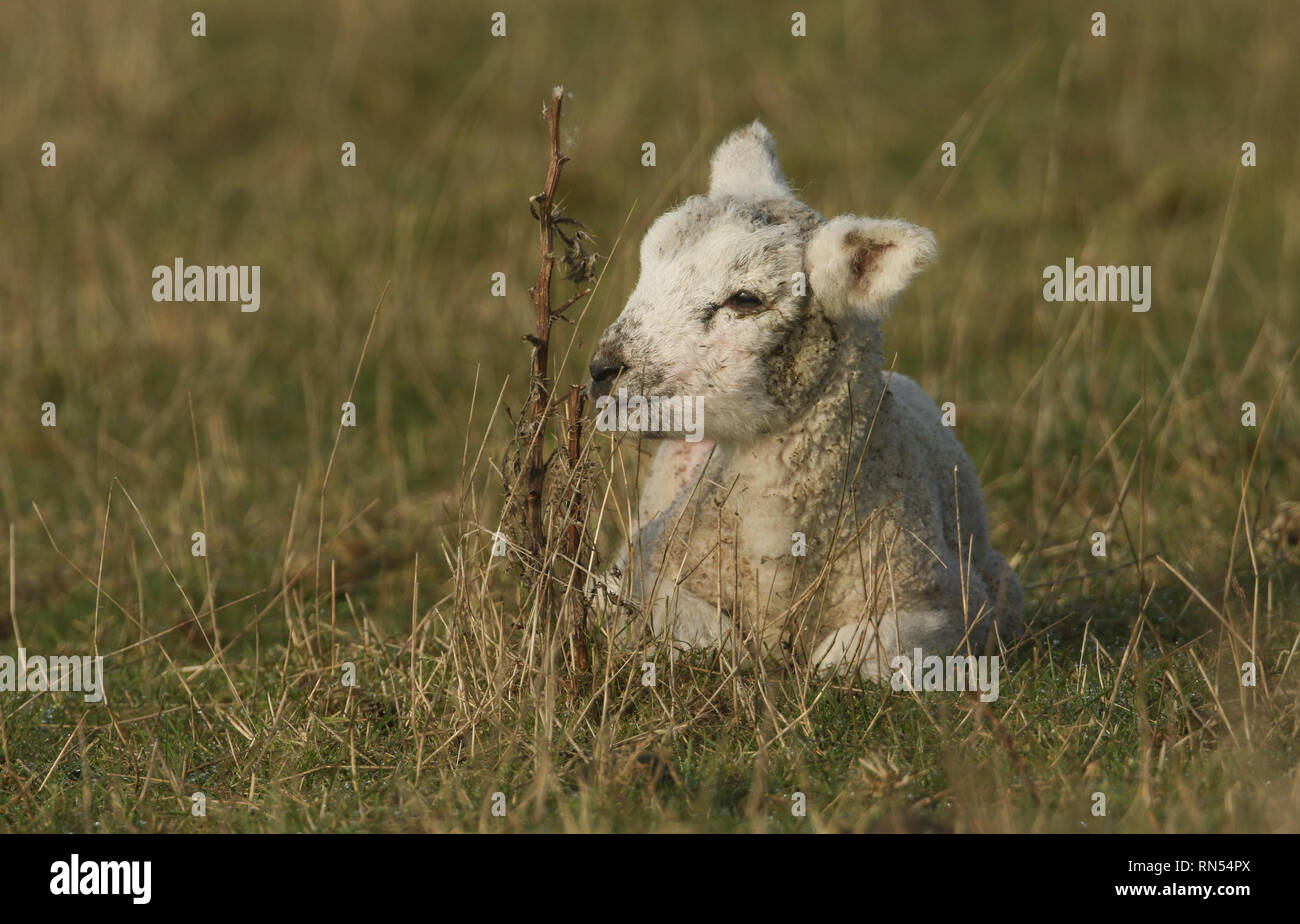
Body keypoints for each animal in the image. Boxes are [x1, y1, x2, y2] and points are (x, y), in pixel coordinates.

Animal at [590, 120, 1024, 680]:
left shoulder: (949, 602)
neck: (777, 551)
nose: (602, 369)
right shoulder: (642, 572)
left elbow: (851, 659)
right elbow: (709, 639)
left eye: (745, 299)